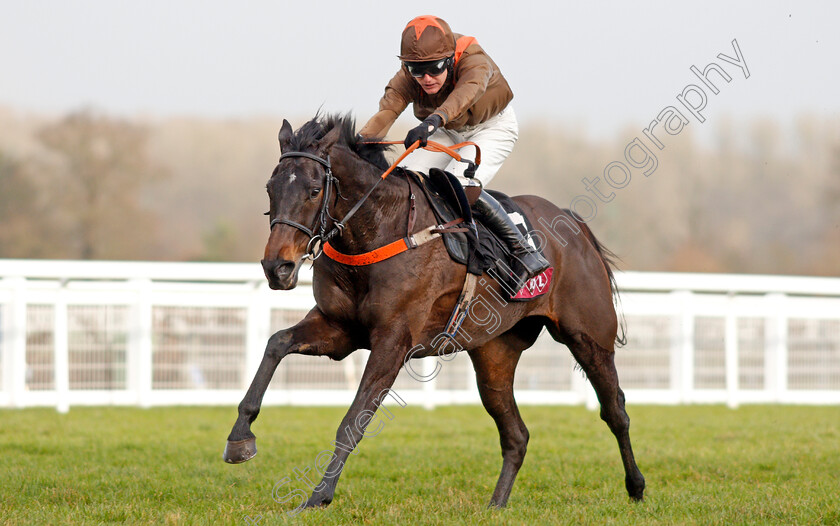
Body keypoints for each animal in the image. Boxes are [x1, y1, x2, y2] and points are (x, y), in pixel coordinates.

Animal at [221, 114, 644, 512]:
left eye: (313, 190)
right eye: (270, 189)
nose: (277, 268)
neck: (379, 230)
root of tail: (573, 222)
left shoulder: (394, 340)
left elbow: (354, 420)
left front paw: (318, 496)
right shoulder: (340, 329)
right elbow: (276, 344)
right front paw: (240, 438)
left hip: (588, 336)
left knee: (616, 411)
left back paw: (636, 487)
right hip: (494, 354)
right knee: (516, 434)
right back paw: (496, 504)